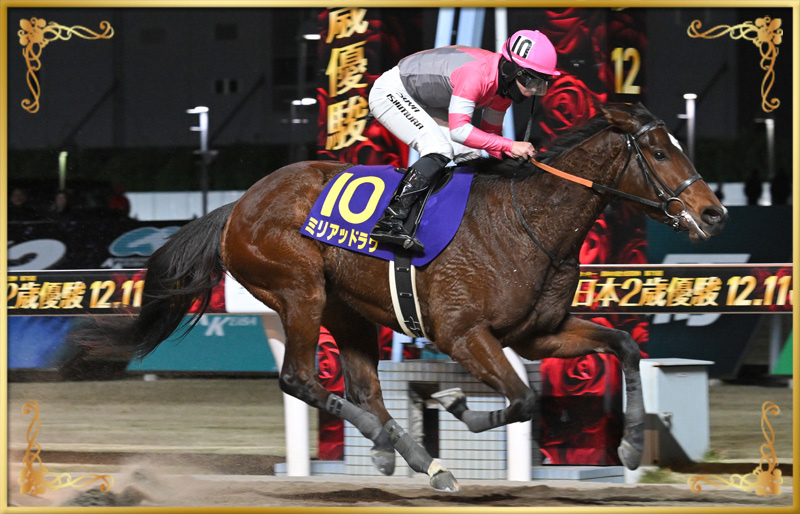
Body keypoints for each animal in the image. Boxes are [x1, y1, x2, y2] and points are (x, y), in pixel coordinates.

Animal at [81, 102, 727, 492]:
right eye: (661, 152)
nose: (713, 213)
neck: (527, 221)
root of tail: (237, 205)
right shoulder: (463, 334)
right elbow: (520, 399)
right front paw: (457, 404)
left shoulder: (536, 334)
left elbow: (623, 346)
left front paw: (630, 447)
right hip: (297, 290)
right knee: (300, 378)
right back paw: (405, 450)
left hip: (346, 309)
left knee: (363, 386)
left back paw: (408, 455)